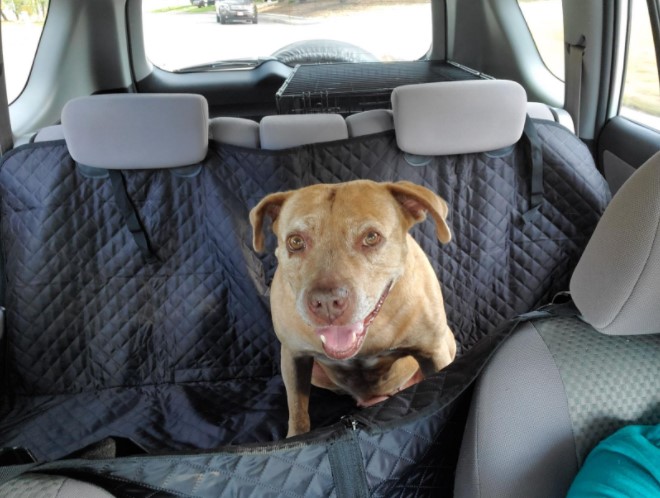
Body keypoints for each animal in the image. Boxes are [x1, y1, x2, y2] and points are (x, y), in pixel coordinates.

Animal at [250, 180, 456, 437]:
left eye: (371, 237)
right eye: (295, 241)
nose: (327, 302)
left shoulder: (434, 352)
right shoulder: (293, 356)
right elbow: (298, 411)